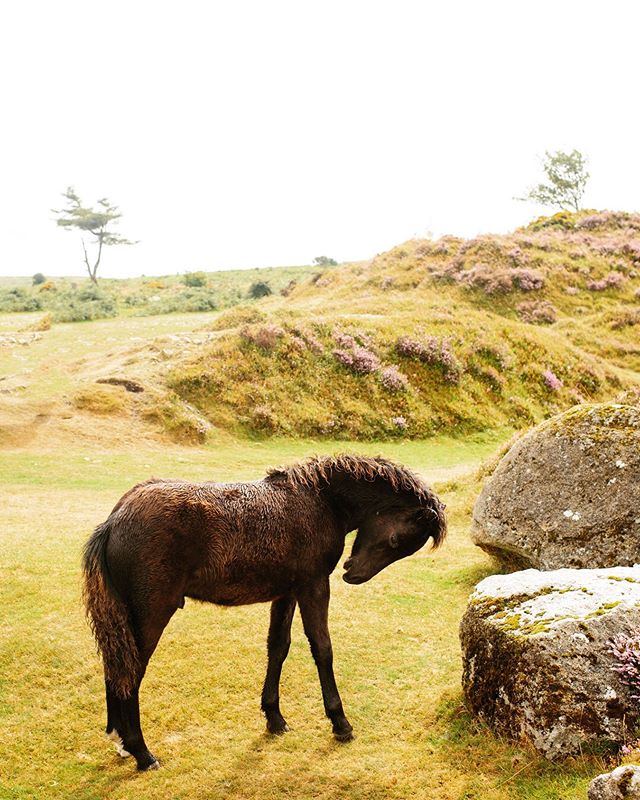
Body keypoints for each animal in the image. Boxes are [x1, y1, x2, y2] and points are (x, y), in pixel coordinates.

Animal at [82, 456, 448, 768]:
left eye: (403, 548)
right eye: (396, 540)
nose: (353, 574)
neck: (320, 501)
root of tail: (114, 520)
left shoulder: (286, 592)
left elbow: (278, 647)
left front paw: (274, 716)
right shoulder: (313, 585)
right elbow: (322, 648)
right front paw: (340, 722)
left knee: (116, 666)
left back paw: (121, 740)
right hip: (151, 613)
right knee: (129, 671)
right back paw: (141, 752)